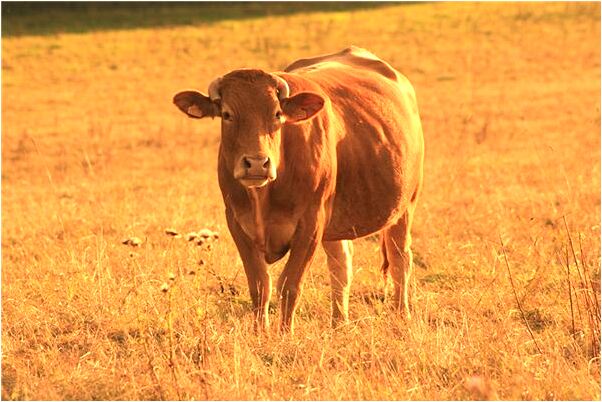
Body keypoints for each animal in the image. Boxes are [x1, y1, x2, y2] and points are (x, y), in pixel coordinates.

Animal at [173, 46, 422, 332]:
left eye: (277, 114)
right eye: (226, 114)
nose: (256, 163)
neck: (264, 196)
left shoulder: (310, 224)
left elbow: (290, 285)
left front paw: (284, 334)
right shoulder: (236, 222)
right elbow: (260, 285)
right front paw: (261, 333)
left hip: (404, 206)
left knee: (400, 259)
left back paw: (401, 316)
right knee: (341, 264)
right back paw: (339, 322)